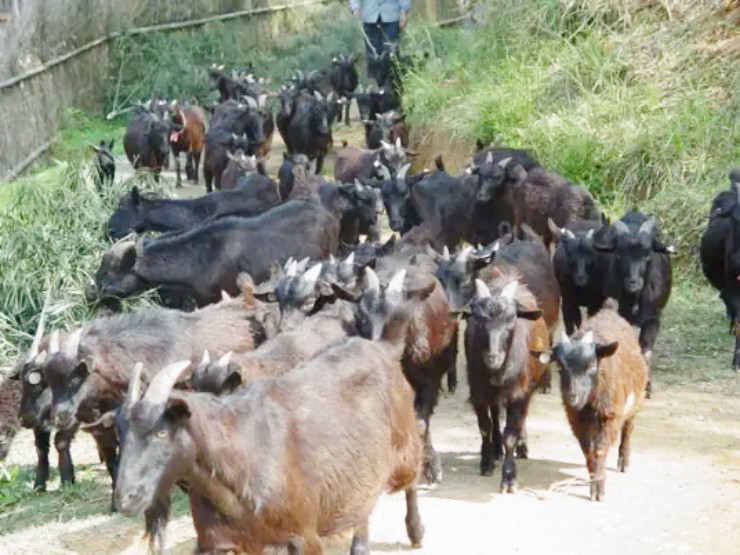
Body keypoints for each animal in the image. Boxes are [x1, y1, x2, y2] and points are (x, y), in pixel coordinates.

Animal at [536, 302, 648, 502]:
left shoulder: (610, 415)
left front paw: (598, 486)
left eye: (592, 365)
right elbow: (588, 449)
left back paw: (624, 461)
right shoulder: (576, 419)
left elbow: (600, 450)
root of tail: (609, 309)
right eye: (560, 367)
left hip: (636, 398)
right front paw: (593, 478)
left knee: (629, 427)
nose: (572, 397)